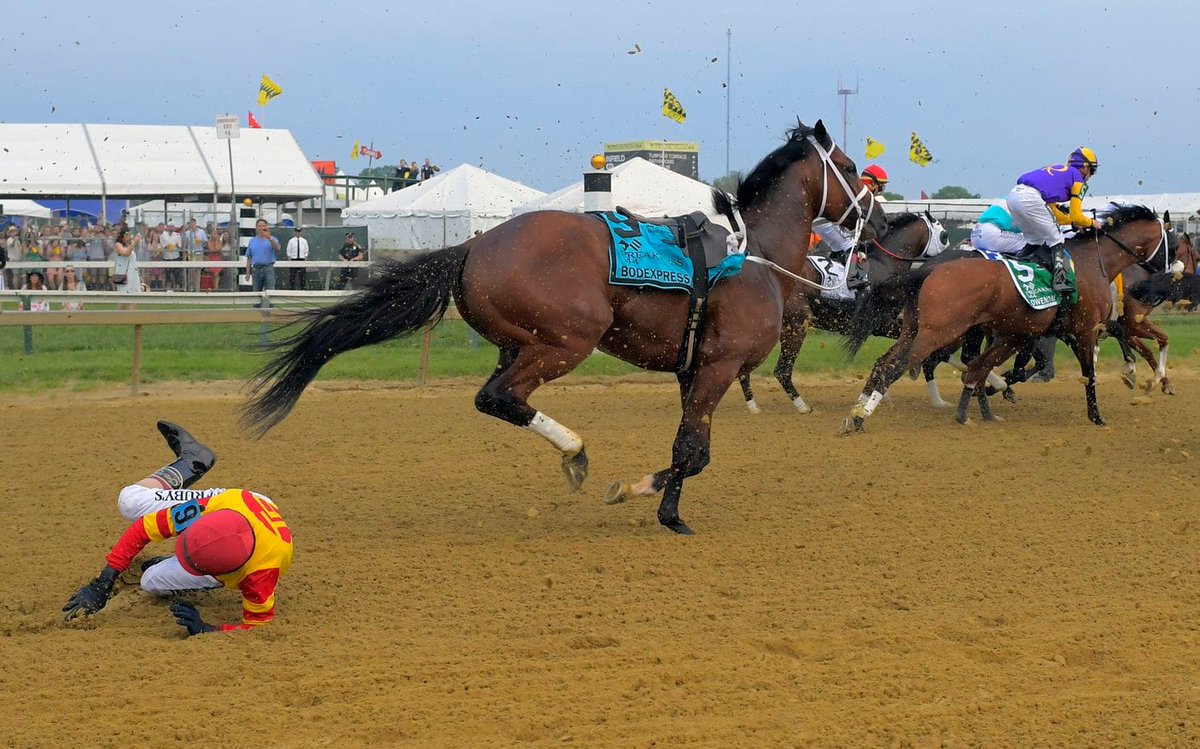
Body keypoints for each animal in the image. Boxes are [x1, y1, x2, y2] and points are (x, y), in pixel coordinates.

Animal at [242, 119, 888, 535]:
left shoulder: (693, 370)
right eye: (851, 168)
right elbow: (691, 453)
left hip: (517, 342)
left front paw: (669, 511)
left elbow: (692, 449)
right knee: (501, 397)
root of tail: (474, 244)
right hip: (567, 340)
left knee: (497, 397)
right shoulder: (718, 367)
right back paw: (575, 452)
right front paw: (640, 494)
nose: (880, 217)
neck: (753, 256)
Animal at [736, 210, 949, 414]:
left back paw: (753, 406)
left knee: (746, 368)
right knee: (782, 370)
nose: (948, 258)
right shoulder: (882, 323)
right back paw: (802, 406)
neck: (884, 265)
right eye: (945, 235)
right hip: (797, 324)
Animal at [840, 204, 1168, 432]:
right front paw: (1102, 411)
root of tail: (930, 269)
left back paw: (862, 406)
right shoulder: (1083, 328)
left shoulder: (1034, 332)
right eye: (1172, 241)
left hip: (916, 329)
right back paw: (860, 416)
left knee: (887, 362)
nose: (1166, 274)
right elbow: (1089, 370)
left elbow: (993, 367)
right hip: (939, 332)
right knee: (901, 365)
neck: (1088, 262)